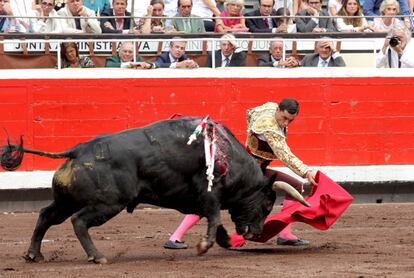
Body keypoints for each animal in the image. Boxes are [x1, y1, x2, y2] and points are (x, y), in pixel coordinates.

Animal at [0, 116, 278, 264]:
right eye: (267, 205)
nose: (257, 233)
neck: (228, 157)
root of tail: (77, 150)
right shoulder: (209, 193)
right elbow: (214, 215)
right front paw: (205, 245)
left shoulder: (201, 200)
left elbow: (214, 219)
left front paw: (224, 240)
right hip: (109, 204)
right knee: (79, 221)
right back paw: (97, 256)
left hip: (66, 201)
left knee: (46, 216)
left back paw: (34, 254)